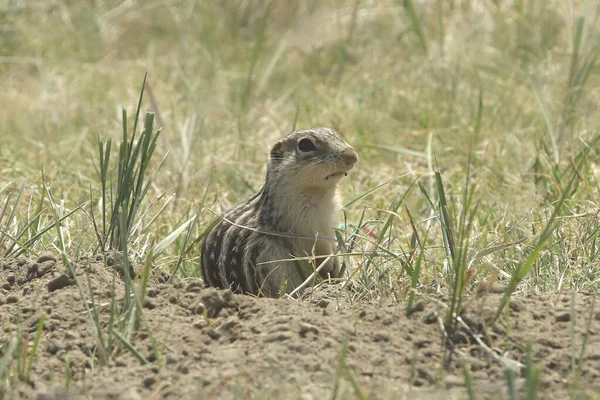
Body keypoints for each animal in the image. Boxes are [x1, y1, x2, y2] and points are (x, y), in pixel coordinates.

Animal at [202, 128, 356, 296]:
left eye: (336, 134)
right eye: (305, 144)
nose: (352, 155)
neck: (320, 194)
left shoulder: (328, 225)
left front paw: (338, 271)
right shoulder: (305, 225)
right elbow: (317, 251)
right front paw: (330, 271)